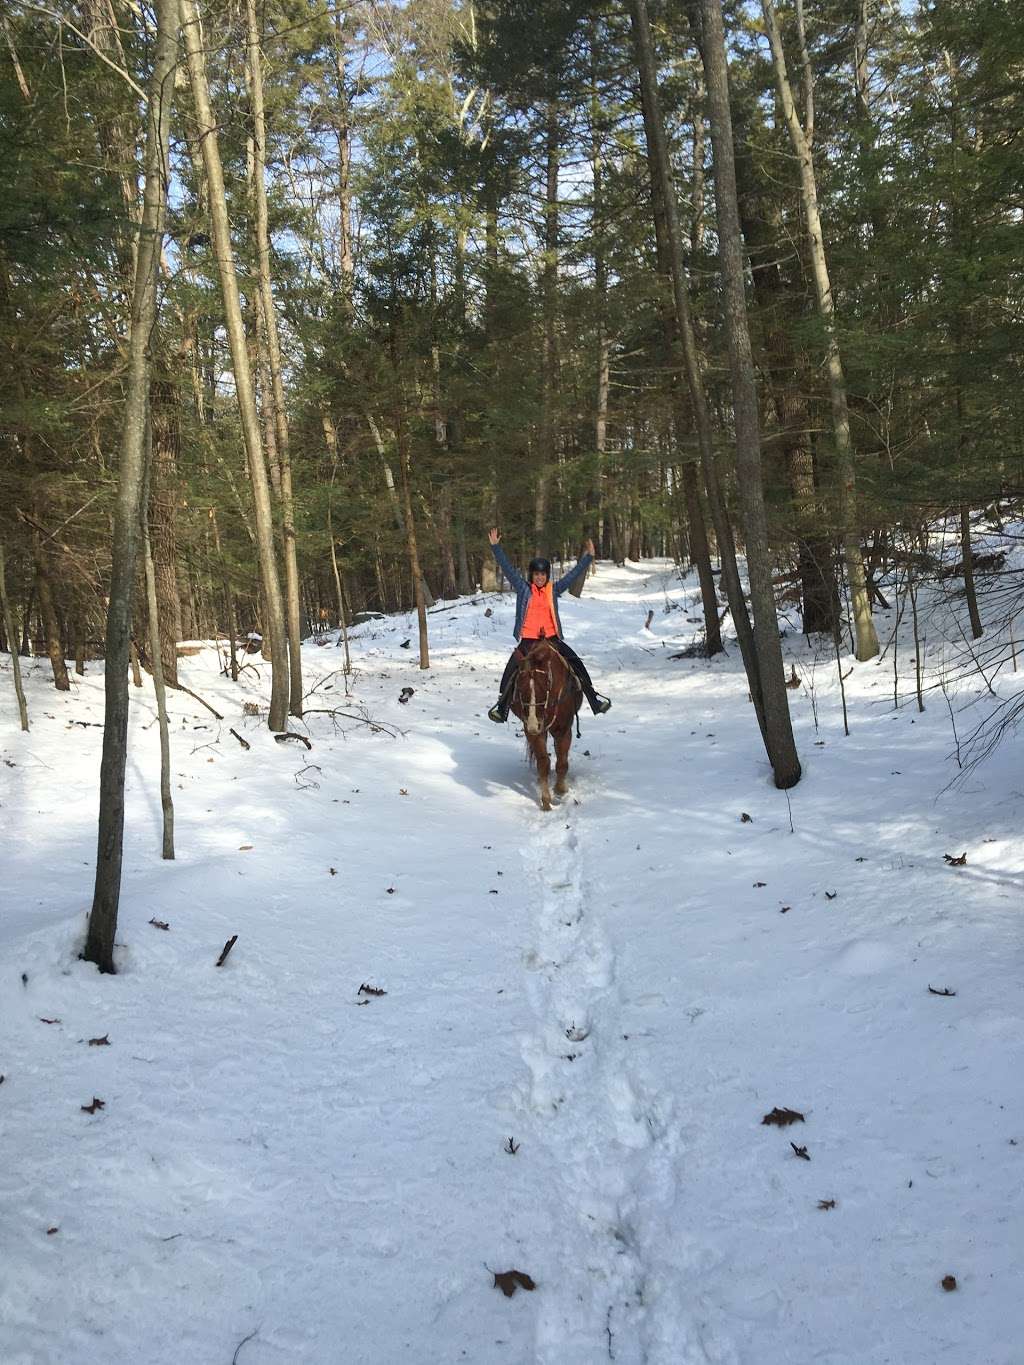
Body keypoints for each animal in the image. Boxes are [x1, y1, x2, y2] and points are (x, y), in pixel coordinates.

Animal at [510, 638, 581, 808]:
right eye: (519, 688)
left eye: (544, 687)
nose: (533, 724)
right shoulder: (533, 731)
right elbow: (543, 763)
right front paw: (546, 800)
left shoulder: (563, 730)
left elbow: (562, 762)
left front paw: (560, 789)